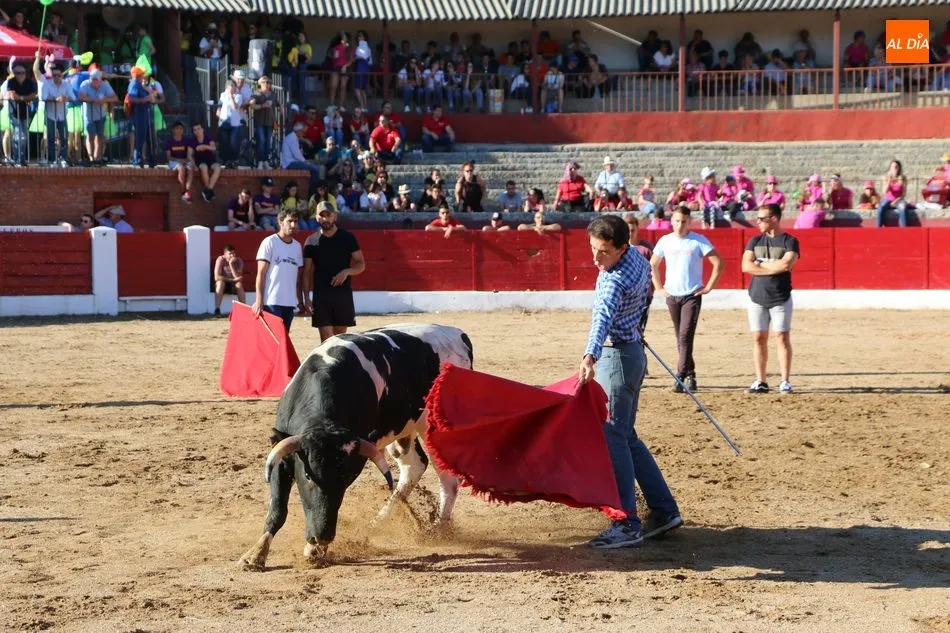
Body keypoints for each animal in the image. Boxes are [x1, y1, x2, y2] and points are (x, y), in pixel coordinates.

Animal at [239, 323, 473, 570]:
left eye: (346, 480)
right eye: (308, 475)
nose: (322, 536)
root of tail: (459, 335)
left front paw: (314, 550)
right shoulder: (284, 459)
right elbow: (277, 510)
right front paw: (255, 555)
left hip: (434, 428)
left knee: (448, 479)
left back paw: (438, 528)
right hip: (404, 432)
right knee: (414, 466)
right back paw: (378, 522)